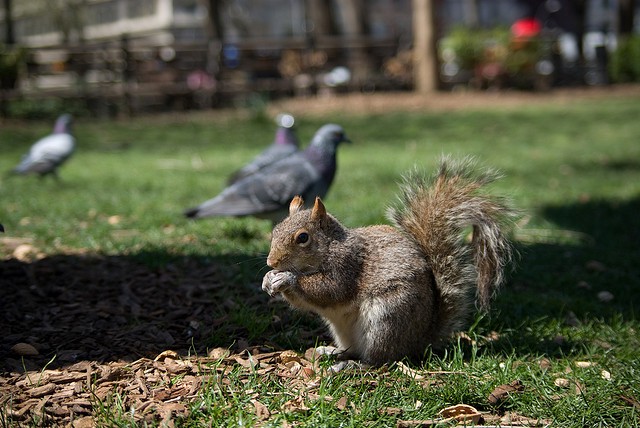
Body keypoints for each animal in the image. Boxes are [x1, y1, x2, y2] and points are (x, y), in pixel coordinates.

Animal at [260, 156, 516, 364]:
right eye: (276, 229)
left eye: (303, 237)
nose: (272, 263)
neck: (329, 248)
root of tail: (420, 339)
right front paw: (268, 278)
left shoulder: (348, 265)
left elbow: (330, 290)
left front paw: (287, 278)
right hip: (344, 330)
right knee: (353, 349)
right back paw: (332, 352)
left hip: (386, 319)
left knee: (380, 359)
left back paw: (354, 365)